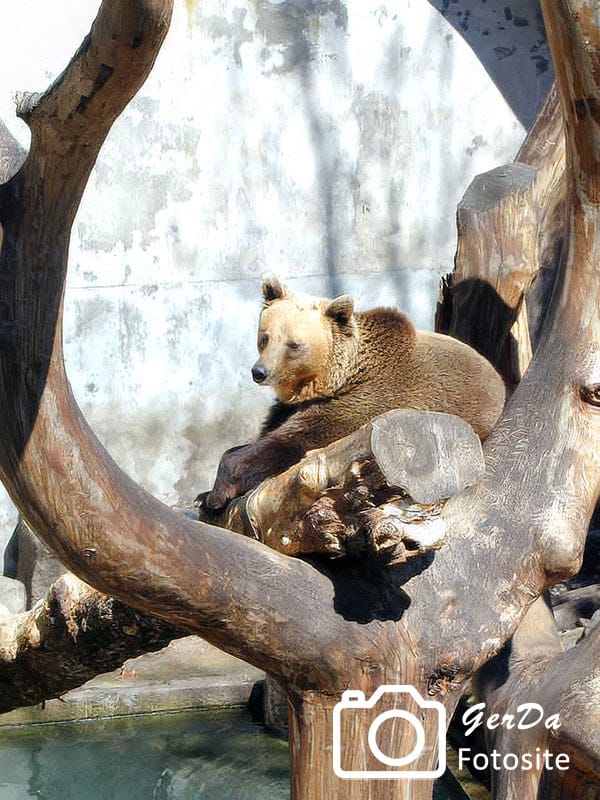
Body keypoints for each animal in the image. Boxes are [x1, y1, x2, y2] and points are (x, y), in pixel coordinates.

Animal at [196, 273, 505, 513]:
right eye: (265, 337)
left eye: (293, 344)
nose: (259, 371)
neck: (338, 378)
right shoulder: (289, 406)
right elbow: (266, 432)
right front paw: (204, 493)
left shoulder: (370, 399)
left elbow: (292, 441)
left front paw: (218, 491)